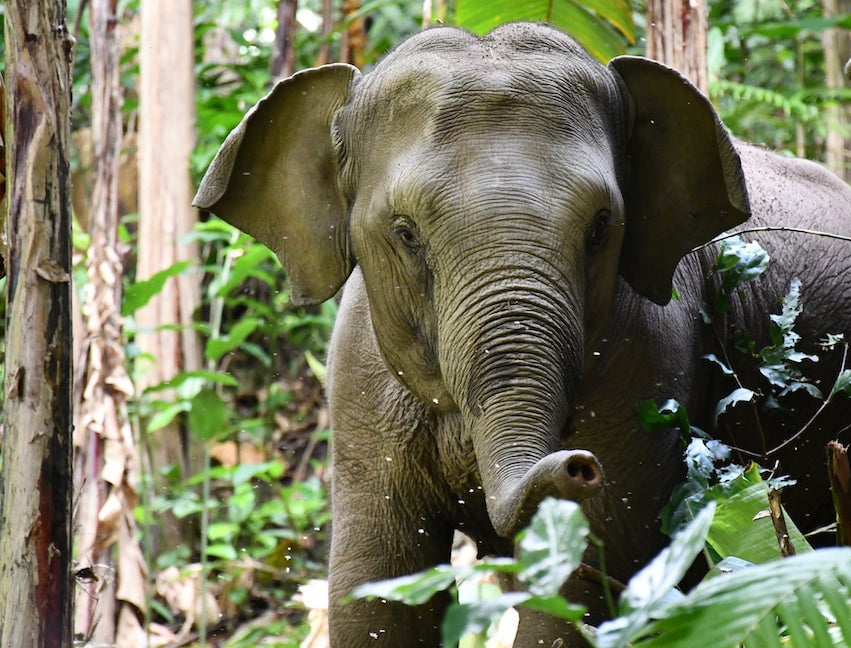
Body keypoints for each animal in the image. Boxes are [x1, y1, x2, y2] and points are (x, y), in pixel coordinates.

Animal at [196, 22, 851, 644]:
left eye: (600, 227)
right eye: (405, 232)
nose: (578, 464)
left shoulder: (650, 363)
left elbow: (580, 593)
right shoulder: (359, 387)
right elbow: (377, 590)